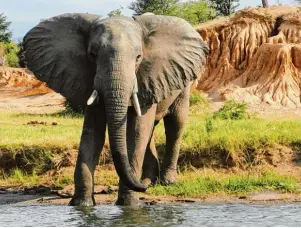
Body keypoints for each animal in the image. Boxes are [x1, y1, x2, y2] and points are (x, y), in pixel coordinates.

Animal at [23, 12, 207, 206]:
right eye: (92, 55)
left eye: (139, 57)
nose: (142, 189)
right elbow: (92, 133)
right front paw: (82, 204)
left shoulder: (146, 77)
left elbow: (136, 132)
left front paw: (129, 204)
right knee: (150, 132)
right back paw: (148, 180)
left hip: (184, 82)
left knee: (175, 125)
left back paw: (165, 181)